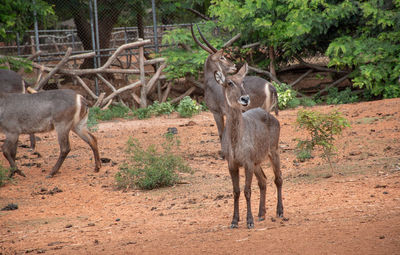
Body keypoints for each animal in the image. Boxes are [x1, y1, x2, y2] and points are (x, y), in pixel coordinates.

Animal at [214, 62, 282, 228]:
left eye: (243, 82)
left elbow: (247, 190)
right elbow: (236, 191)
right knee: (263, 181)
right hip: (258, 162)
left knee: (278, 178)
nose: (245, 98)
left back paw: (279, 211)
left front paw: (249, 221)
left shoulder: (247, 163)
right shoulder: (232, 164)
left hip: (273, 151)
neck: (235, 141)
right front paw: (234, 221)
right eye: (229, 82)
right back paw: (261, 214)